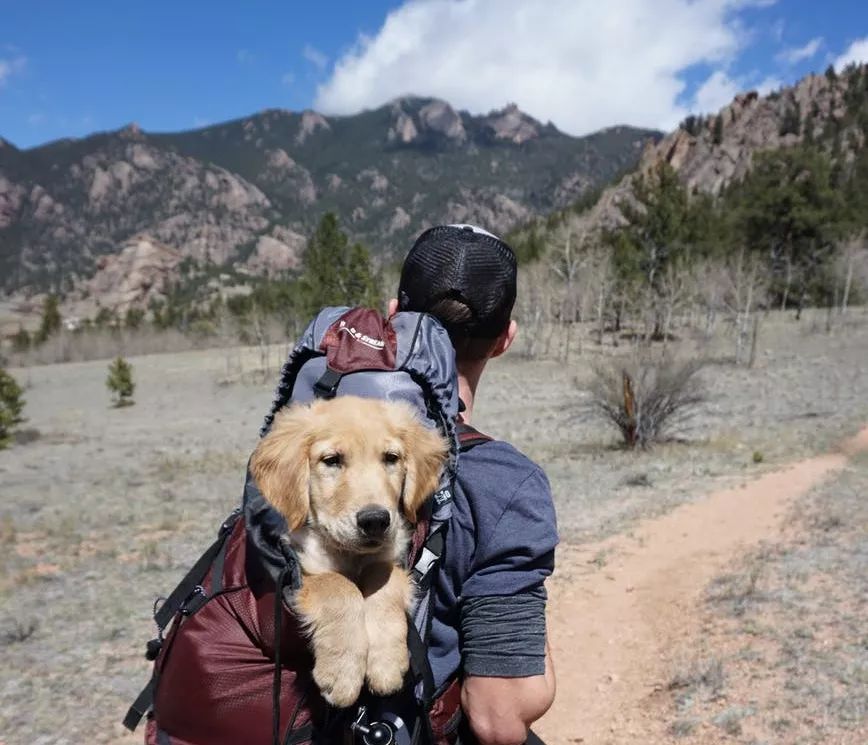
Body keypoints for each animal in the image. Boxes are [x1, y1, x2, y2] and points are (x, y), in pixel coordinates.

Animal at [248, 392, 444, 708]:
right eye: (332, 461)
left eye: (391, 458)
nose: (375, 520)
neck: (351, 555)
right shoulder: (302, 568)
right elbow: (338, 585)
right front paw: (342, 673)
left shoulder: (392, 557)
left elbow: (383, 578)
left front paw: (385, 663)